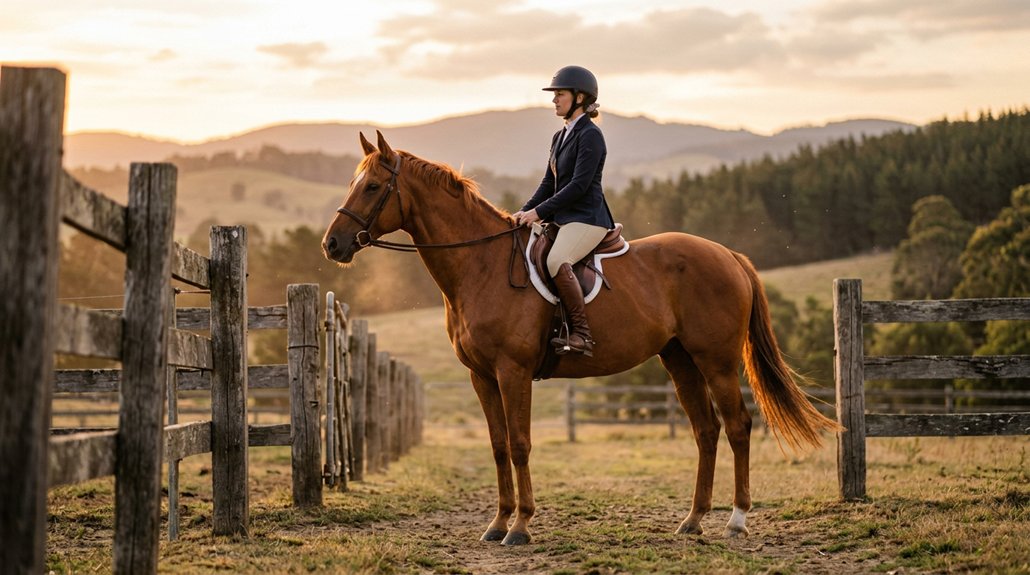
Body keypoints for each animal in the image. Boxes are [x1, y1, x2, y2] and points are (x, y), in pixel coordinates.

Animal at [322, 131, 841, 545]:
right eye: (352, 183)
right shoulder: (481, 377)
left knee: (737, 426)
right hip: (679, 360)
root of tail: (728, 254)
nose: (332, 244)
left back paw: (736, 520)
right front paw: (497, 524)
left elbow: (520, 444)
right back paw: (692, 521)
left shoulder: (513, 371)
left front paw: (520, 527)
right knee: (706, 430)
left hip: (715, 359)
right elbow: (497, 446)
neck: (480, 266)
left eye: (372, 186)